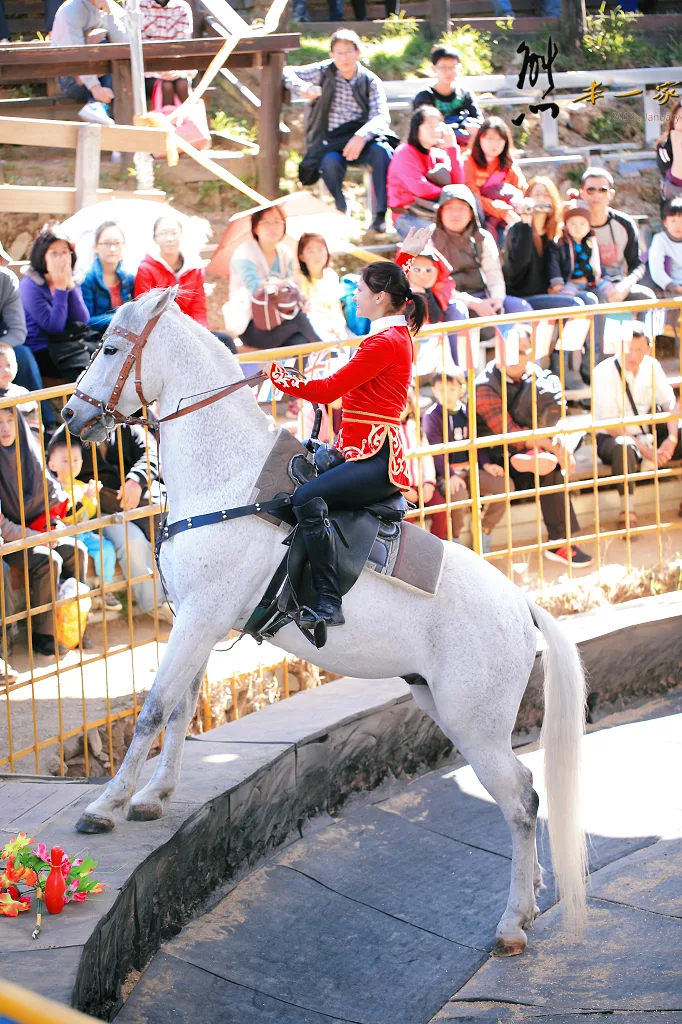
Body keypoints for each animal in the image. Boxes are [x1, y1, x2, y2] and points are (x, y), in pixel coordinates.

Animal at [61, 286, 585, 950]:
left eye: (108, 349)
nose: (71, 416)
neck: (229, 479)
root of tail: (521, 606)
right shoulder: (199, 620)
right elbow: (181, 707)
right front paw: (155, 796)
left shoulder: (199, 618)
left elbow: (154, 708)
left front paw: (105, 806)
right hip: (444, 703)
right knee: (524, 792)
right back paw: (532, 897)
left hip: (476, 722)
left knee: (521, 801)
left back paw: (513, 923)